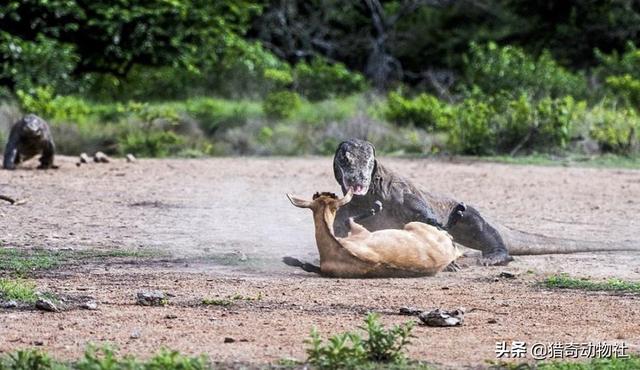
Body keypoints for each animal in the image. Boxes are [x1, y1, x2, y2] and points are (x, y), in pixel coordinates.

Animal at [284, 191, 460, 278]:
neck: (338, 250)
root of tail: (449, 250)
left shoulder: (361, 231)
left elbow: (348, 219)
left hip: (412, 225)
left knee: (443, 228)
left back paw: (458, 212)